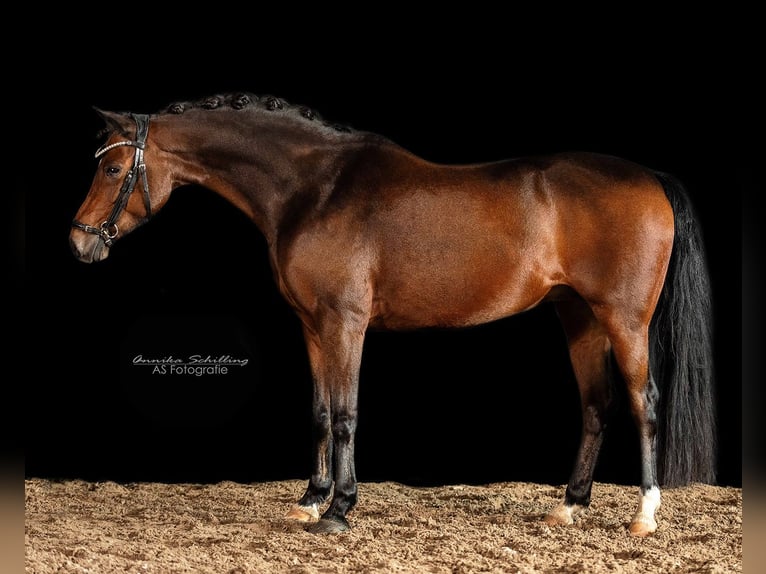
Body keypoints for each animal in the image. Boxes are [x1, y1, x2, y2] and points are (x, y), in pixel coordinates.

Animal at [69, 93, 716, 540]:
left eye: (111, 170)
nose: (79, 243)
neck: (314, 189)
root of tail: (650, 177)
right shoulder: (312, 326)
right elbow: (319, 411)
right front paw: (310, 498)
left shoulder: (345, 323)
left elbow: (346, 414)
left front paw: (339, 510)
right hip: (577, 316)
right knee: (595, 405)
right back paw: (568, 505)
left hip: (623, 319)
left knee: (643, 403)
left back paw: (645, 514)